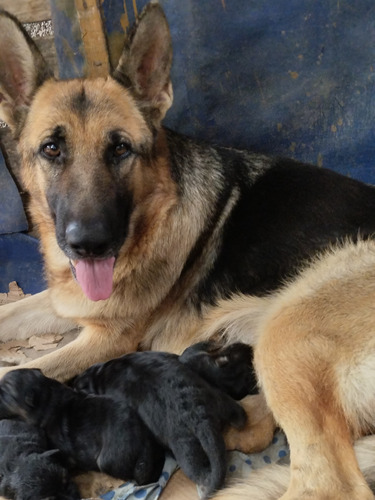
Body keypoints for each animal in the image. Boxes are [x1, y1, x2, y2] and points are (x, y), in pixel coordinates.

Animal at [74, 348, 248, 500]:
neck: (100, 374)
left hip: (186, 450)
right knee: (238, 414)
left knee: (200, 473)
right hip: (220, 399)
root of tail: (200, 414)